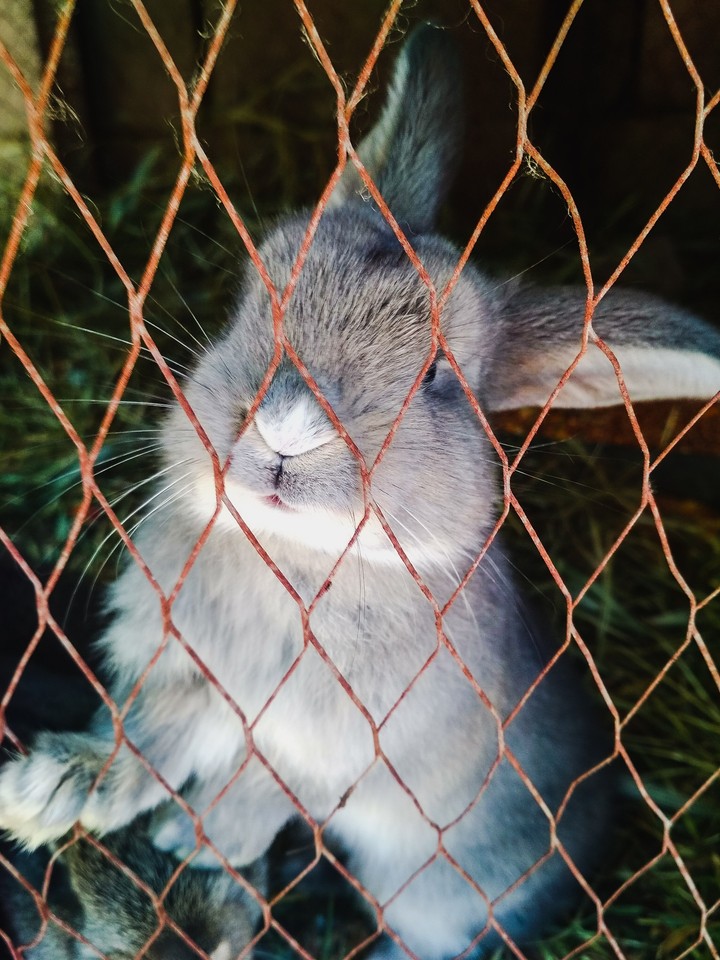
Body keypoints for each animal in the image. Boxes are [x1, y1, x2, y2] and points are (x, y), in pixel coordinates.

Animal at [1, 22, 719, 959]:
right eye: (257, 293)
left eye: (439, 376)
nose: (285, 430)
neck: (295, 560)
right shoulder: (192, 676)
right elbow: (149, 731)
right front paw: (48, 797)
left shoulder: (342, 751)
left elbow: (267, 790)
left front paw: (199, 842)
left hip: (439, 900)